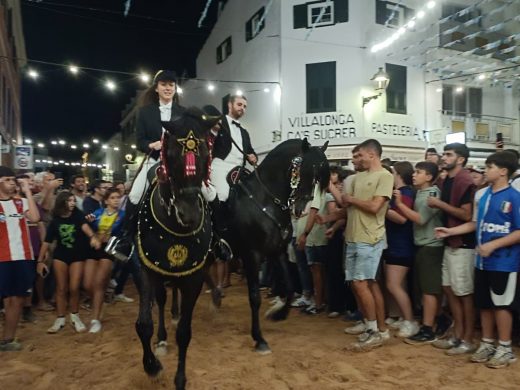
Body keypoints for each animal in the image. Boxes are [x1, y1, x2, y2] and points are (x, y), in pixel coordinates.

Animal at [135, 106, 218, 390]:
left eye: (206, 153)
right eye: (169, 154)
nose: (189, 215)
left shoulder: (194, 277)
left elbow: (184, 332)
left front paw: (180, 378)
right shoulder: (146, 270)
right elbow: (144, 324)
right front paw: (151, 366)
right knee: (160, 300)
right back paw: (161, 338)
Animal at [225, 139, 328, 354]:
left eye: (319, 179)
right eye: (305, 171)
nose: (304, 210)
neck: (265, 202)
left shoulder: (277, 252)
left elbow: (288, 287)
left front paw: (278, 314)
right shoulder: (252, 256)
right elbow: (254, 297)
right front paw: (259, 339)